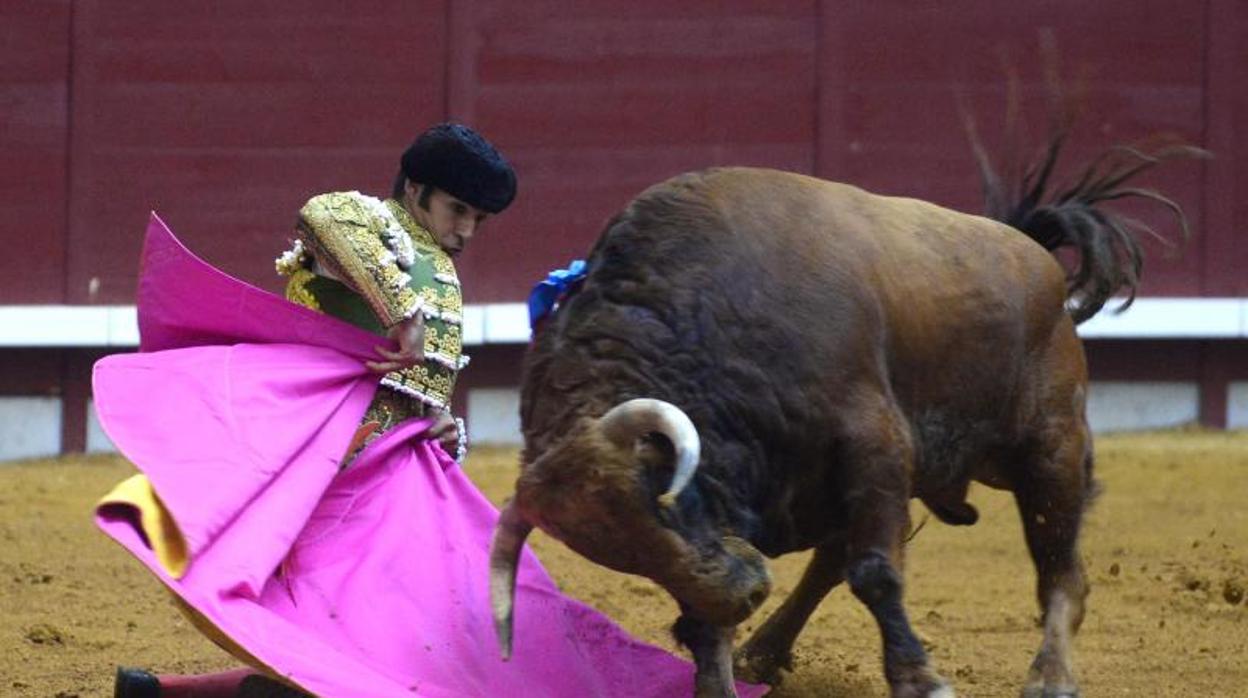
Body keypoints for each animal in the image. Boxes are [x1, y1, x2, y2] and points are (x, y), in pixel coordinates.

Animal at [486, 122, 1198, 694]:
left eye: (662, 498)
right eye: (624, 556)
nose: (745, 593)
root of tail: (1035, 253)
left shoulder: (875, 444)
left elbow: (876, 573)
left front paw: (921, 681)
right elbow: (721, 618)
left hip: (1049, 450)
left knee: (1060, 571)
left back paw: (1051, 678)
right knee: (831, 561)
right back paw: (765, 652)